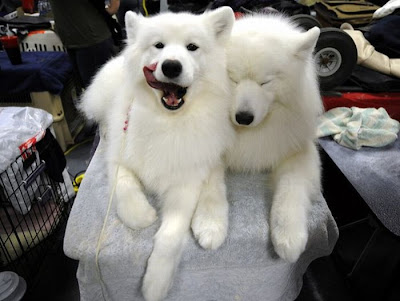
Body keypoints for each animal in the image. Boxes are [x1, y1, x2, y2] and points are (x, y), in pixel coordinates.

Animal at [80, 7, 236, 300]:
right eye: (159, 46)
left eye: (192, 47)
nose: (171, 66)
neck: (167, 121)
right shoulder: (120, 159)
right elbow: (124, 185)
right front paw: (140, 214)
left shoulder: (186, 183)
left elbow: (170, 236)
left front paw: (156, 283)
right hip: (102, 98)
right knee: (101, 118)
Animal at [195, 14, 324, 262]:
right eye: (232, 79)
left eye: (266, 82)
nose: (243, 117)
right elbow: (210, 184)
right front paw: (210, 224)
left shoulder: (299, 150)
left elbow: (291, 186)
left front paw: (288, 234)